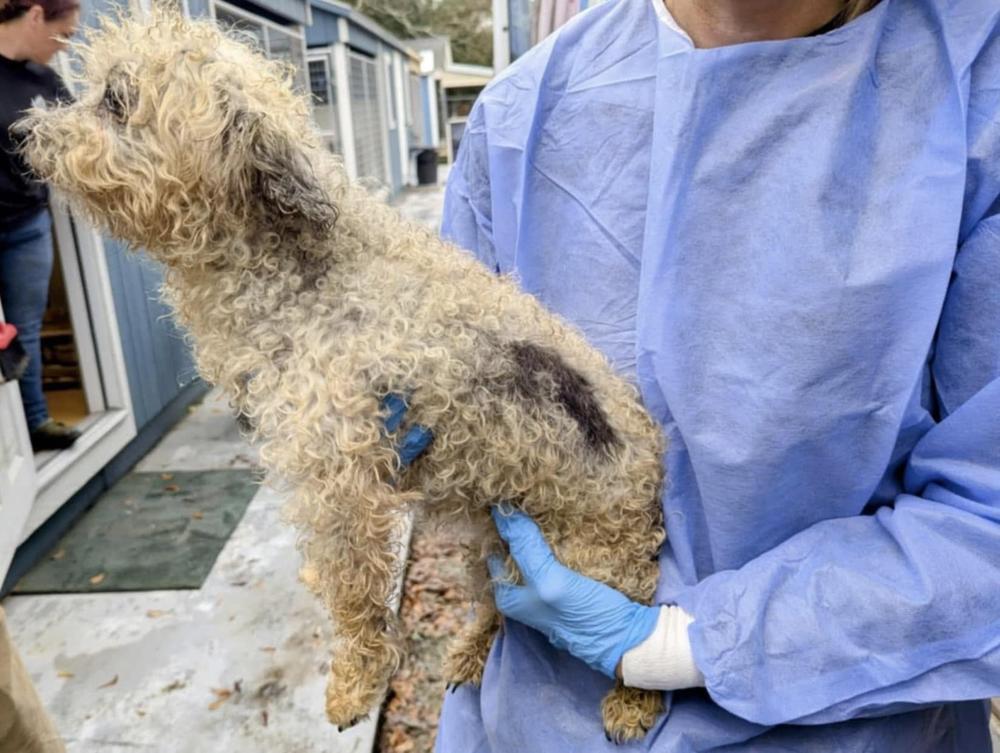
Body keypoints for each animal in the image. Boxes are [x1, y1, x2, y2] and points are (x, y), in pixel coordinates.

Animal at [19, 7, 668, 740]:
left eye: (116, 101)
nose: (23, 132)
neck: (304, 275)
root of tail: (650, 461)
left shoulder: (338, 473)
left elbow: (354, 581)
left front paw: (355, 679)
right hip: (491, 541)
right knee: (497, 603)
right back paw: (473, 649)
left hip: (594, 556)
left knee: (629, 622)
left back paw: (632, 694)